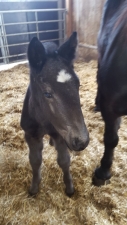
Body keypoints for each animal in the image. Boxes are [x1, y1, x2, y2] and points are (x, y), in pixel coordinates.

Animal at [20, 32, 89, 197]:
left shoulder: (61, 134)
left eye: (78, 85)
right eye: (47, 93)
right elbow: (35, 161)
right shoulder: (30, 134)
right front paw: (34, 189)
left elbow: (64, 160)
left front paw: (69, 189)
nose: (82, 141)